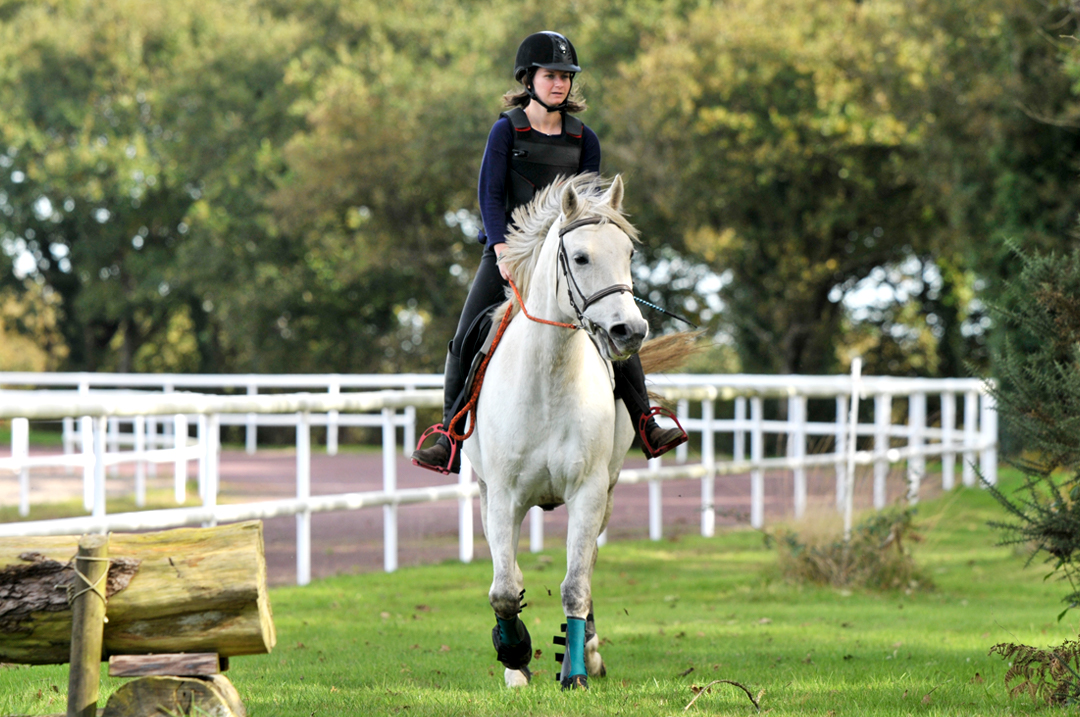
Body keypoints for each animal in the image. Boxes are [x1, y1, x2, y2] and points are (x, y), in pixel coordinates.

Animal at [460, 173, 643, 691]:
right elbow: (504, 589)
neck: (548, 382)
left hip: (606, 495)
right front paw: (514, 654)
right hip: (488, 494)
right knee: (510, 572)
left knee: (588, 567)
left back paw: (588, 653)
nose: (630, 331)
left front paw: (576, 670)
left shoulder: (589, 492)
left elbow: (576, 585)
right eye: (580, 257)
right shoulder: (503, 495)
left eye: (629, 253)